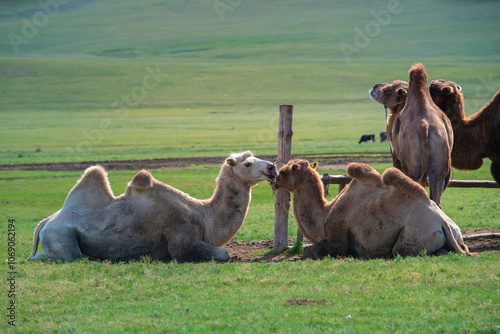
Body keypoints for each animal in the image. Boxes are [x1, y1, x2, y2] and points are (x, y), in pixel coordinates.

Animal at [28, 152, 278, 264]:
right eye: (248, 163)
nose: (272, 167)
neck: (205, 214)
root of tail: (46, 221)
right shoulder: (180, 236)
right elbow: (221, 253)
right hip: (61, 235)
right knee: (60, 256)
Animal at [270, 160, 472, 260]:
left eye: (285, 170)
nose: (274, 178)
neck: (325, 214)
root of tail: (443, 222)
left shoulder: (338, 239)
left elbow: (312, 251)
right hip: (455, 235)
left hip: (412, 238)